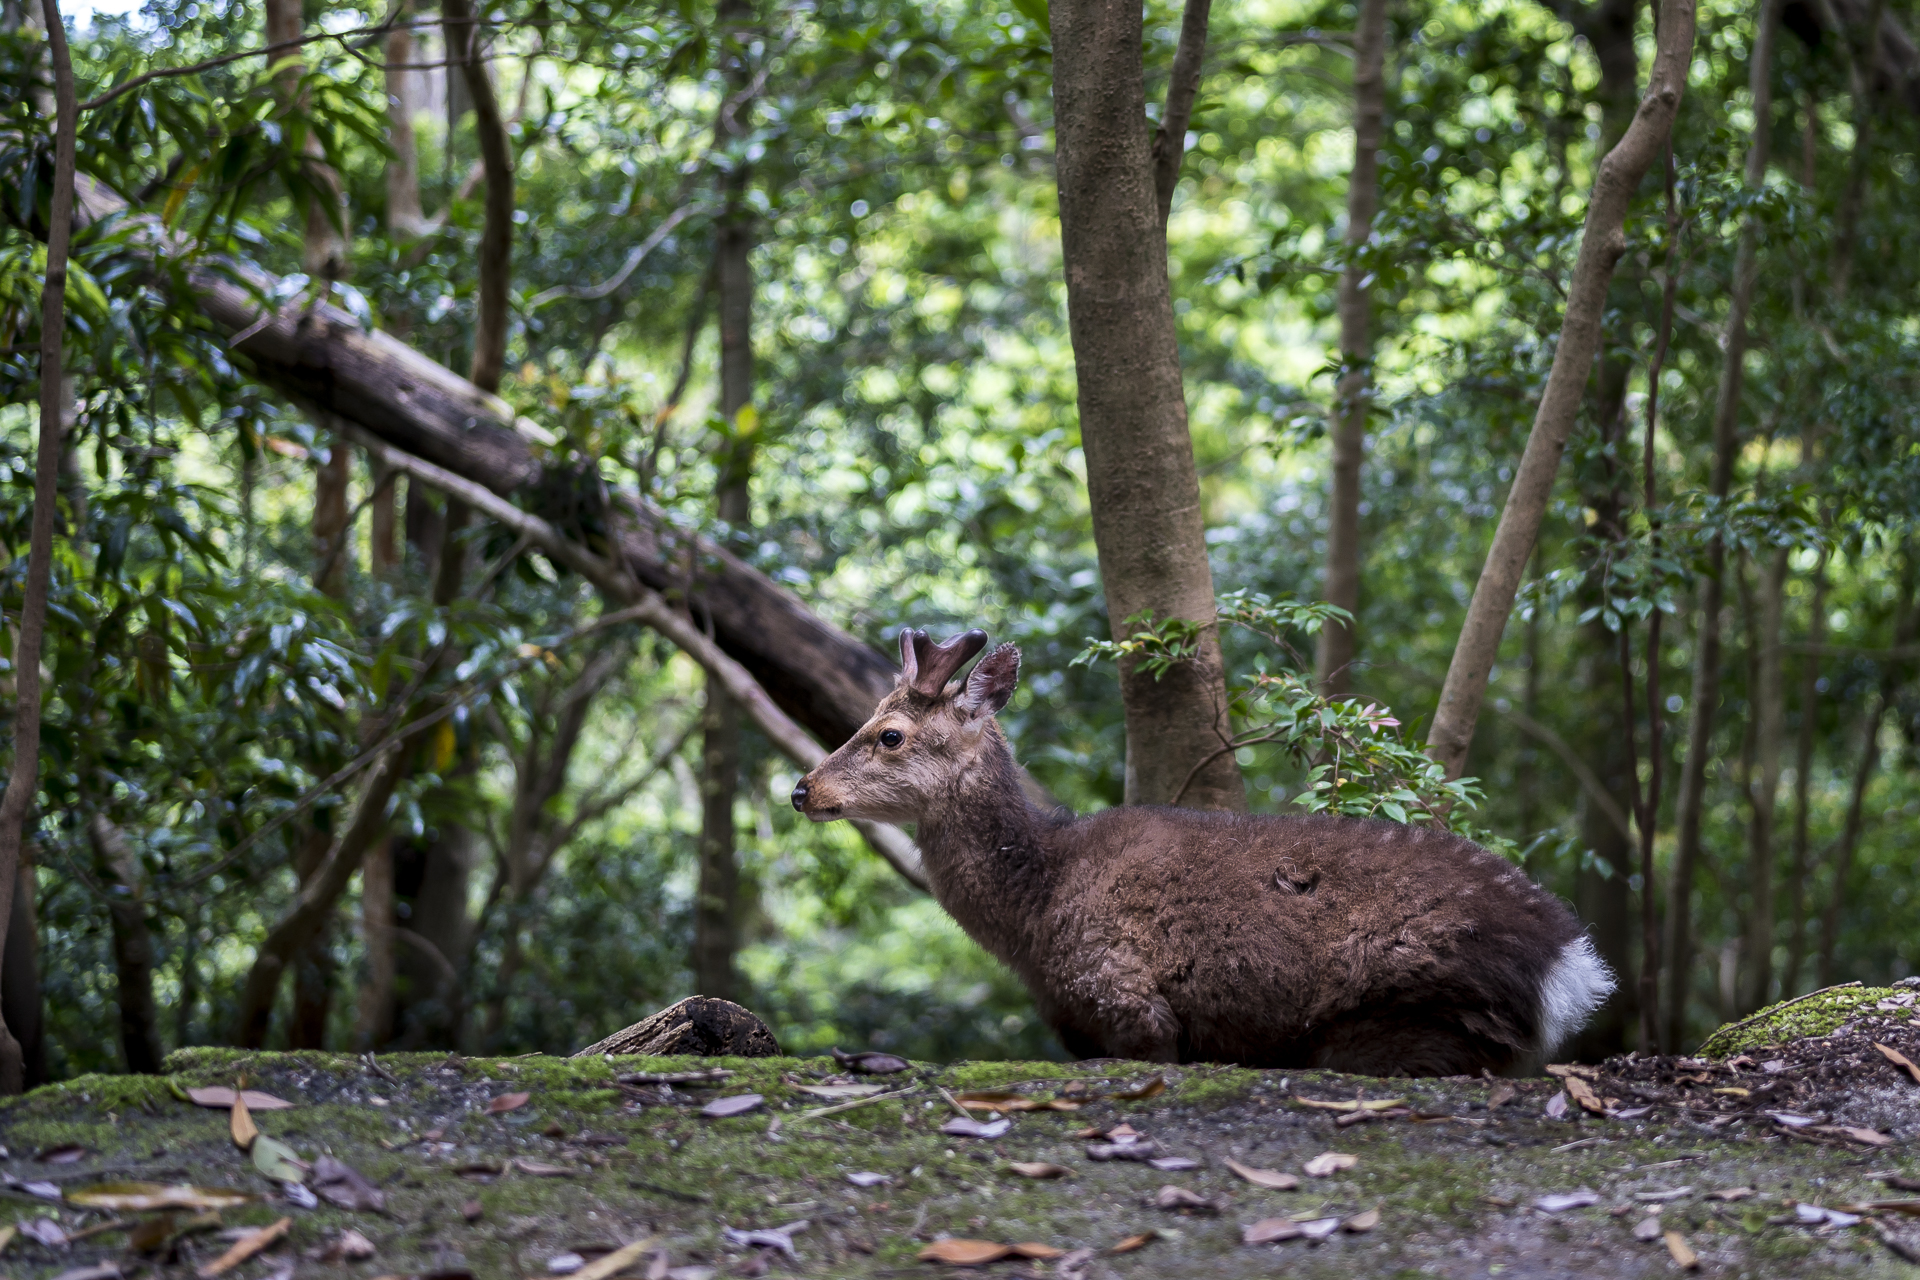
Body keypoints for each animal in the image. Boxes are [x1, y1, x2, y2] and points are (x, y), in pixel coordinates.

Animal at [790, 628, 1614, 1075]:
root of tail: (1573, 967)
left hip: (1411, 1016)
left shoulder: (1129, 1003)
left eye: (890, 735)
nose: (802, 789)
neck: (1036, 911)